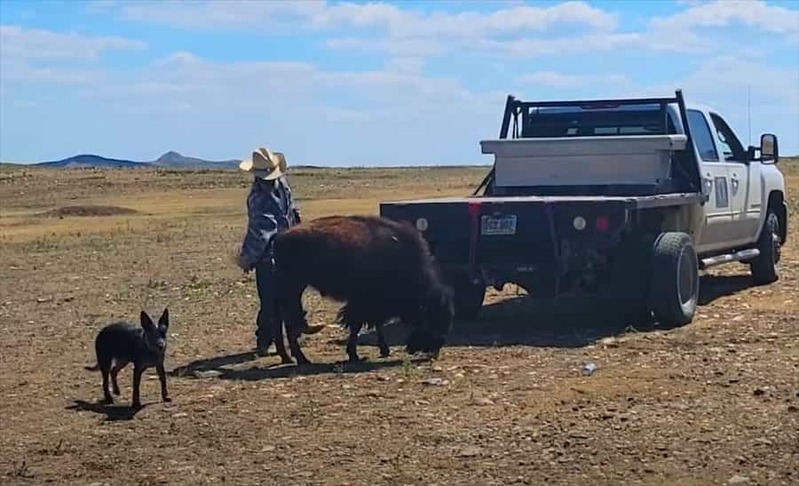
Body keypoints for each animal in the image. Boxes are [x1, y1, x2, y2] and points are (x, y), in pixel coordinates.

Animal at [268, 213, 456, 364]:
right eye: (432, 317)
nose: (436, 349)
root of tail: (280, 238)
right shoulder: (362, 304)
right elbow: (357, 326)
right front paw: (354, 355)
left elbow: (374, 324)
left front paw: (383, 350)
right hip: (293, 286)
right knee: (289, 320)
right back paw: (301, 359)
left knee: (281, 319)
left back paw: (288, 357)